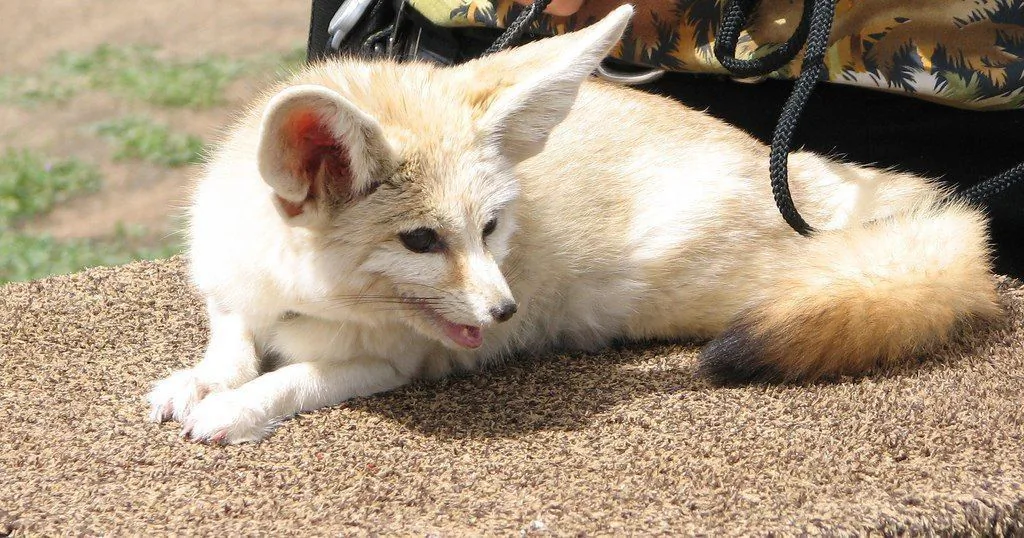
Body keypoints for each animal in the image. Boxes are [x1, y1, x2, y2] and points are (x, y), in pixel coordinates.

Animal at [147, 5, 1001, 444]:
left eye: (492, 228)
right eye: (422, 240)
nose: (505, 313)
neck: (293, 294)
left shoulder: (394, 364)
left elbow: (293, 377)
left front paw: (236, 408)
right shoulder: (227, 283)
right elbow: (230, 341)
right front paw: (201, 380)